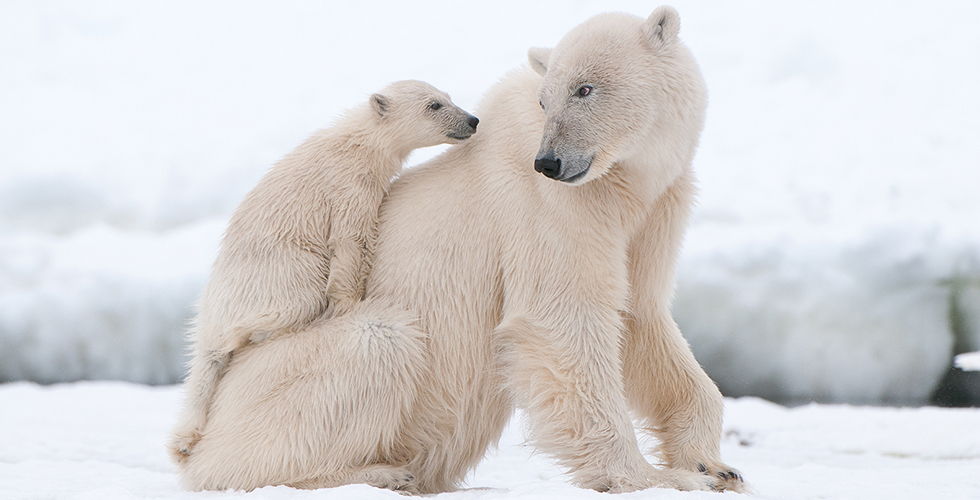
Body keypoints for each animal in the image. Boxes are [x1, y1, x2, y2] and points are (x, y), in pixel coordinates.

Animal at [169, 80, 482, 462]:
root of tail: (210, 316)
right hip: (279, 274)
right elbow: (350, 241)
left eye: (448, 97)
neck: (358, 142)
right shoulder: (349, 186)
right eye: (434, 105)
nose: (472, 120)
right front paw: (349, 304)